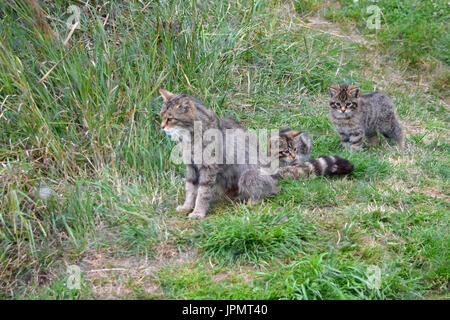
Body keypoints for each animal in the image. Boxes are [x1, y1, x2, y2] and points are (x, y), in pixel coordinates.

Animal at [158, 89, 280, 219]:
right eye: (161, 116)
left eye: (170, 119)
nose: (162, 127)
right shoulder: (191, 167)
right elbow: (190, 190)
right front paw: (187, 207)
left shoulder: (208, 168)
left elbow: (203, 192)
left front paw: (198, 212)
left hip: (248, 175)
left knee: (263, 195)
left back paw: (247, 204)